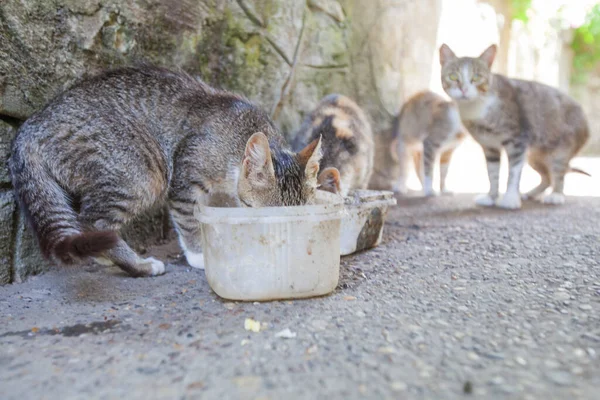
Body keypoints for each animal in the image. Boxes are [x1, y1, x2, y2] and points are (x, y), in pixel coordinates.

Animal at [8, 66, 324, 278]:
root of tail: (32, 124)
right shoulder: (184, 180)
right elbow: (189, 220)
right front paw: (200, 255)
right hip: (139, 174)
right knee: (93, 222)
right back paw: (139, 265)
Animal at [438, 44, 588, 209]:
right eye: (453, 76)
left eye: (477, 77)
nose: (463, 89)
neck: (476, 108)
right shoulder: (489, 146)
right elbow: (492, 173)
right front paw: (491, 197)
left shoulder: (517, 140)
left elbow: (514, 172)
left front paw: (510, 199)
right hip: (535, 156)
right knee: (547, 177)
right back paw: (530, 194)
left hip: (560, 151)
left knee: (558, 173)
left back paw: (556, 195)